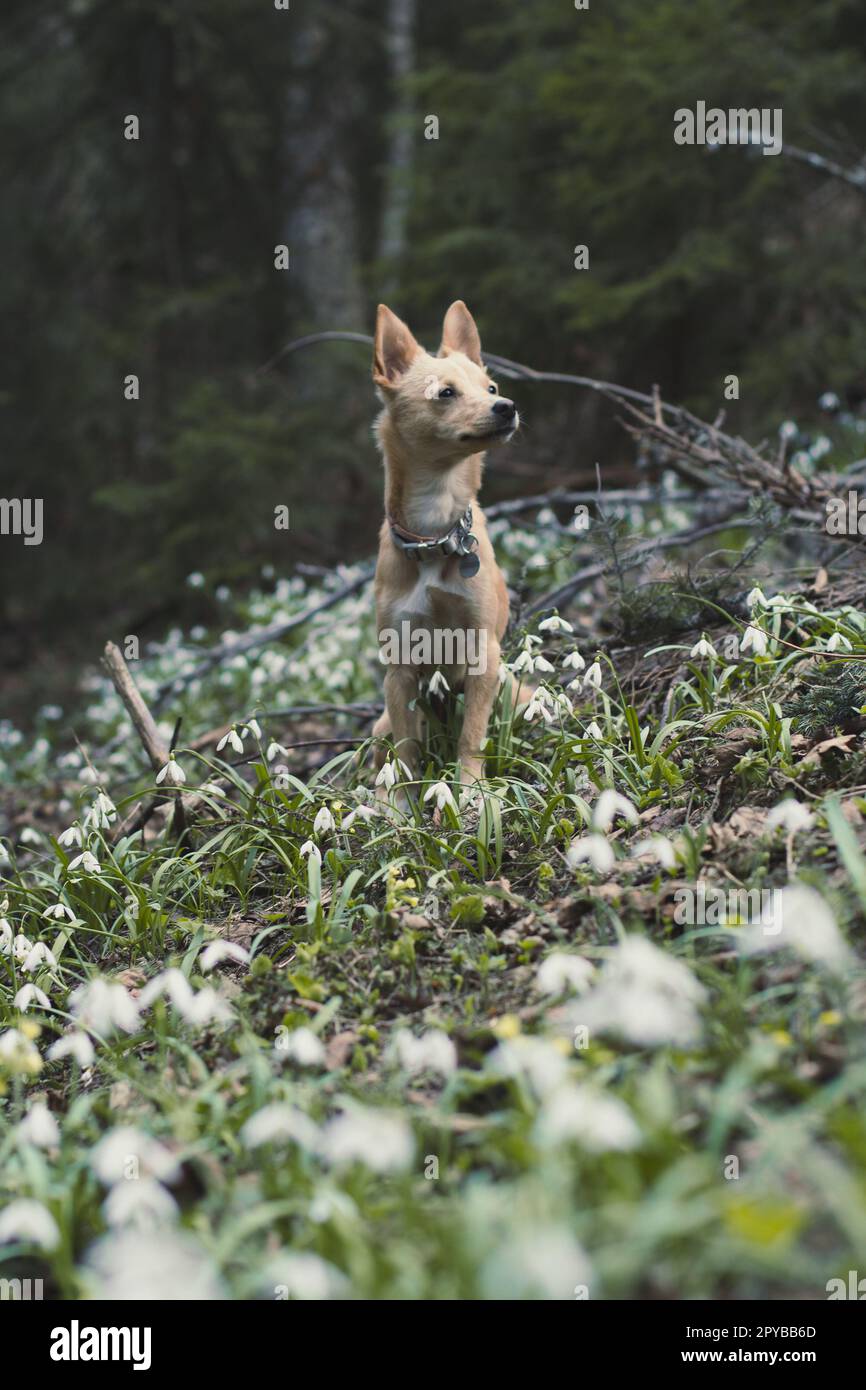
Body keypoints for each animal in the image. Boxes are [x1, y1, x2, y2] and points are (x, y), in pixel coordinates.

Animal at [366, 297, 517, 789]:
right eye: (445, 393)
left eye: (491, 387)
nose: (507, 406)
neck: (435, 534)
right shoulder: (398, 670)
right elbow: (407, 748)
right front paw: (399, 798)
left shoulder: (483, 653)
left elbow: (472, 735)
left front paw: (470, 790)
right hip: (378, 724)